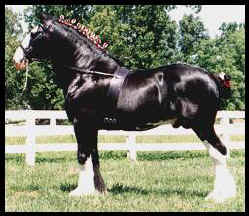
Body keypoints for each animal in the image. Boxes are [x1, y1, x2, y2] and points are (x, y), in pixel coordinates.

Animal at [13, 14, 235, 202]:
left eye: (34, 33)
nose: (17, 58)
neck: (87, 72)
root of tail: (212, 76)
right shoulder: (91, 126)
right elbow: (94, 156)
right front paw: (99, 190)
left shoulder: (81, 122)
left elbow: (82, 155)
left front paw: (80, 192)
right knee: (219, 153)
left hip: (202, 125)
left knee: (220, 152)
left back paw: (219, 195)